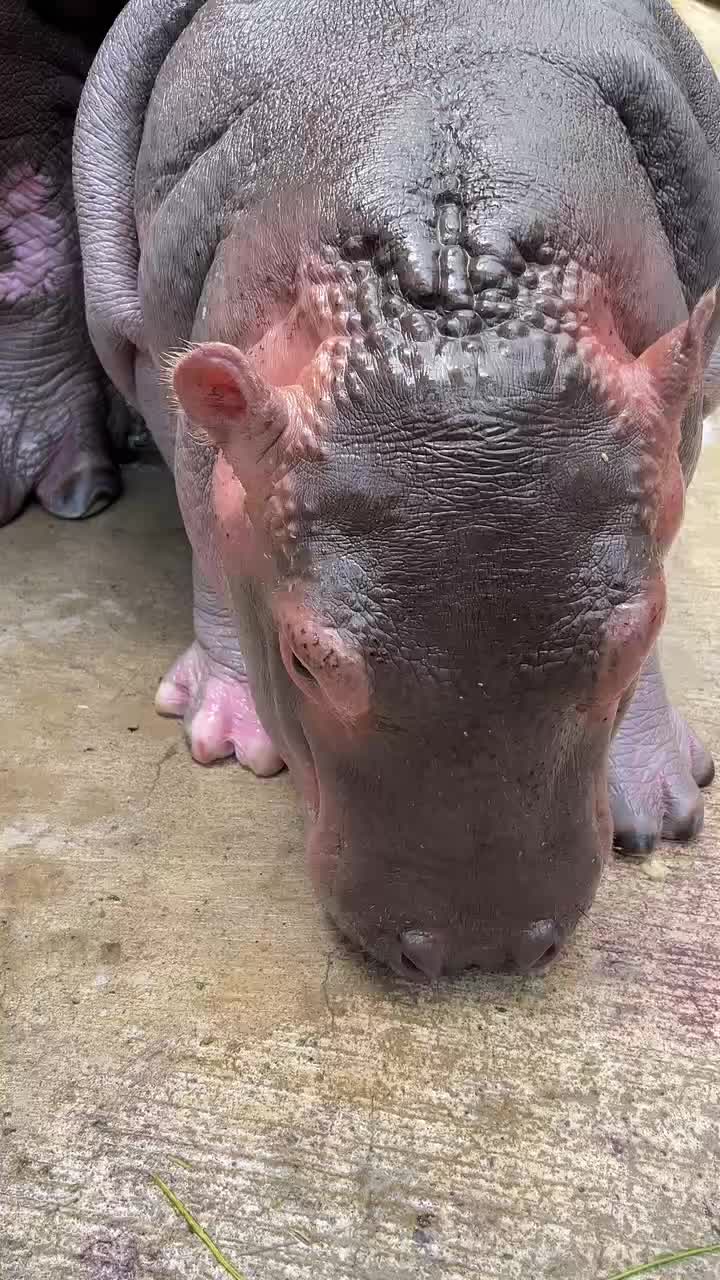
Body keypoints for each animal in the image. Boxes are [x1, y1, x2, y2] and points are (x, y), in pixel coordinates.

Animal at [73, 0, 719, 979]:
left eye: (642, 635)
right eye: (304, 659)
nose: (481, 947)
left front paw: (663, 805)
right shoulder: (164, 353)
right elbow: (210, 527)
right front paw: (226, 736)